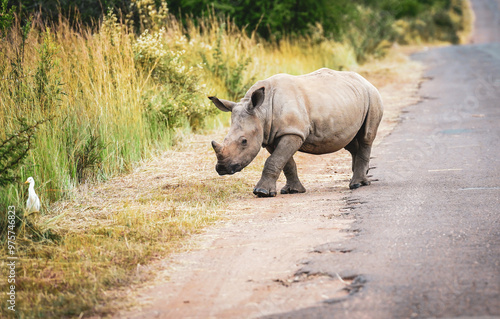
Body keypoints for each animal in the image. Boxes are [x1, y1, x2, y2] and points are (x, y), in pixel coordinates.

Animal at [207, 68, 382, 198]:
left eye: (244, 141)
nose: (222, 168)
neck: (262, 111)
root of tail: (365, 80)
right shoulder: (272, 135)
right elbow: (286, 163)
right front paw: (293, 190)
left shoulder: (293, 132)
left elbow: (274, 160)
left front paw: (261, 192)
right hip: (348, 101)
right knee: (350, 141)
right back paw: (363, 176)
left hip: (372, 96)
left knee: (366, 137)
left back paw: (357, 184)